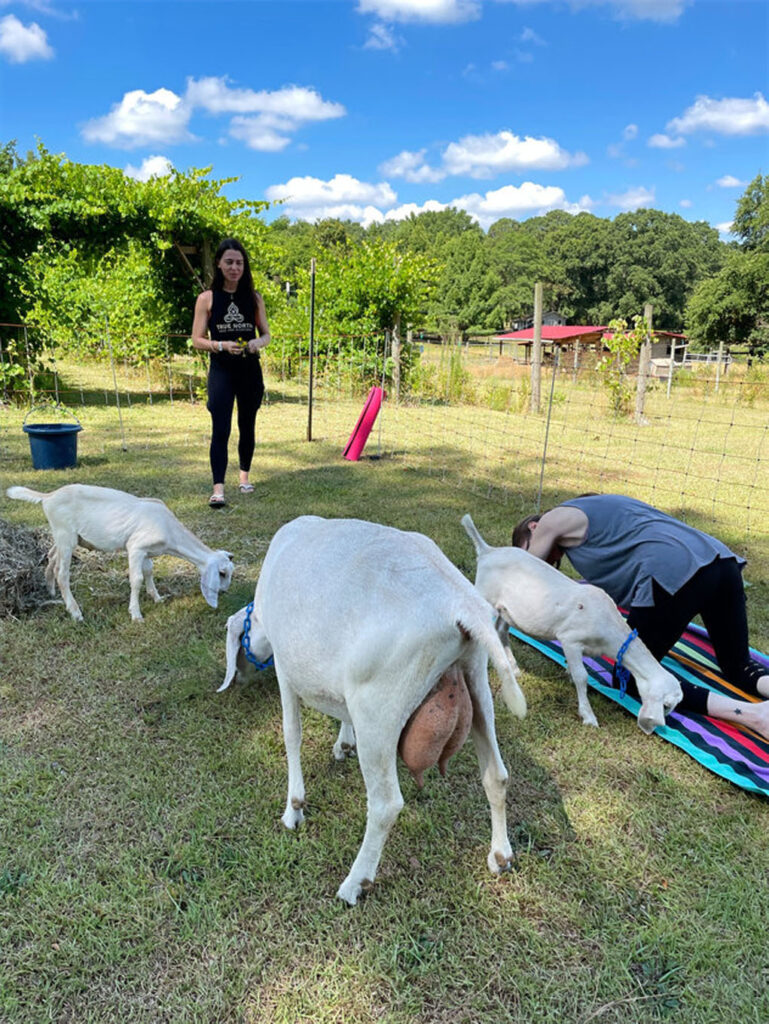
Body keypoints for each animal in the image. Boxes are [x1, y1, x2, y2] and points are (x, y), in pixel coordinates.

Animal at [6, 484, 233, 621]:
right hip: (65, 535)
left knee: (52, 556)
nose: (224, 592)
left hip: (65, 536)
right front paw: (136, 614)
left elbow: (149, 572)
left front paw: (157, 598)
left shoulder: (146, 551)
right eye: (221, 573)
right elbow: (137, 579)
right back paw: (75, 612)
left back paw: (52, 591)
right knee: (63, 574)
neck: (171, 534)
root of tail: (48, 496)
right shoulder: (135, 547)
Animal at [218, 515, 527, 905]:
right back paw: (500, 855)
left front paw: (294, 809)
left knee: (386, 804)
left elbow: (292, 735)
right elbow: (339, 714)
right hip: (477, 680)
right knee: (496, 775)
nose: (239, 680)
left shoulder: (287, 672)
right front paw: (343, 744)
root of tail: (461, 606)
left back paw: (355, 883)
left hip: (379, 706)